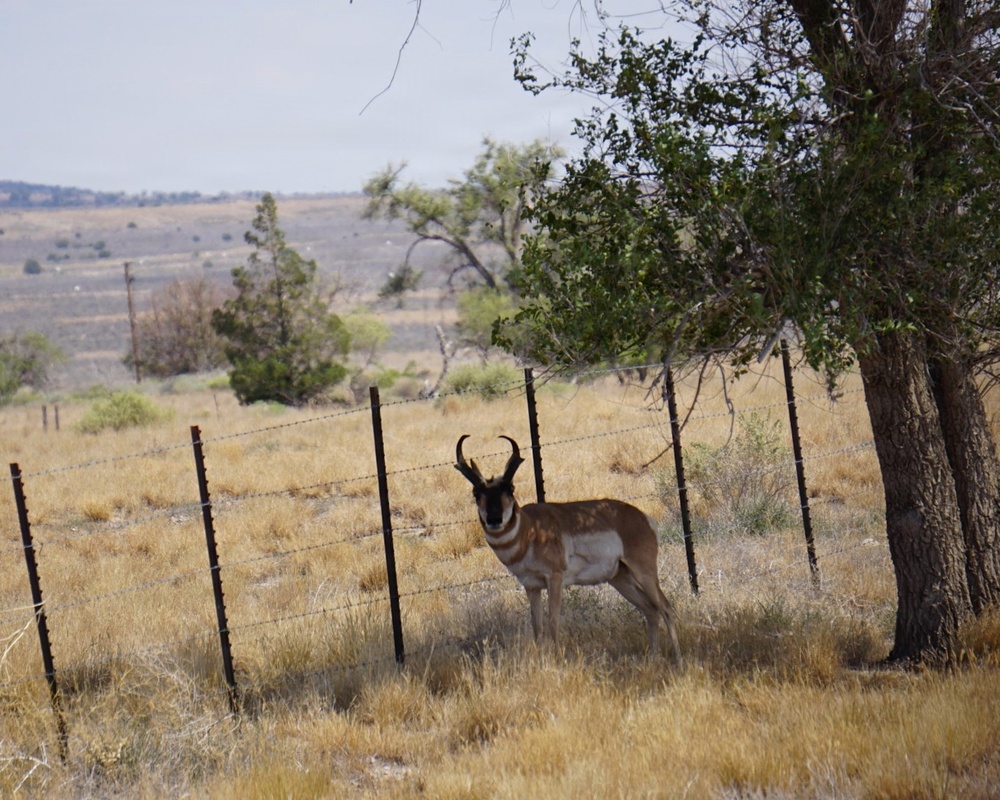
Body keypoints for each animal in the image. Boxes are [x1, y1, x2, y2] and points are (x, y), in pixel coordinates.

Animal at [455, 434, 682, 663]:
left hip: (644, 572)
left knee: (666, 608)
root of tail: (643, 517)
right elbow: (537, 627)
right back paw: (652, 657)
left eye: (510, 489)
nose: (494, 519)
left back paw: (678, 660)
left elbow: (553, 622)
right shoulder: (532, 586)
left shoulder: (554, 578)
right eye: (476, 493)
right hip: (620, 578)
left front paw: (558, 661)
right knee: (651, 610)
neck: (529, 528)